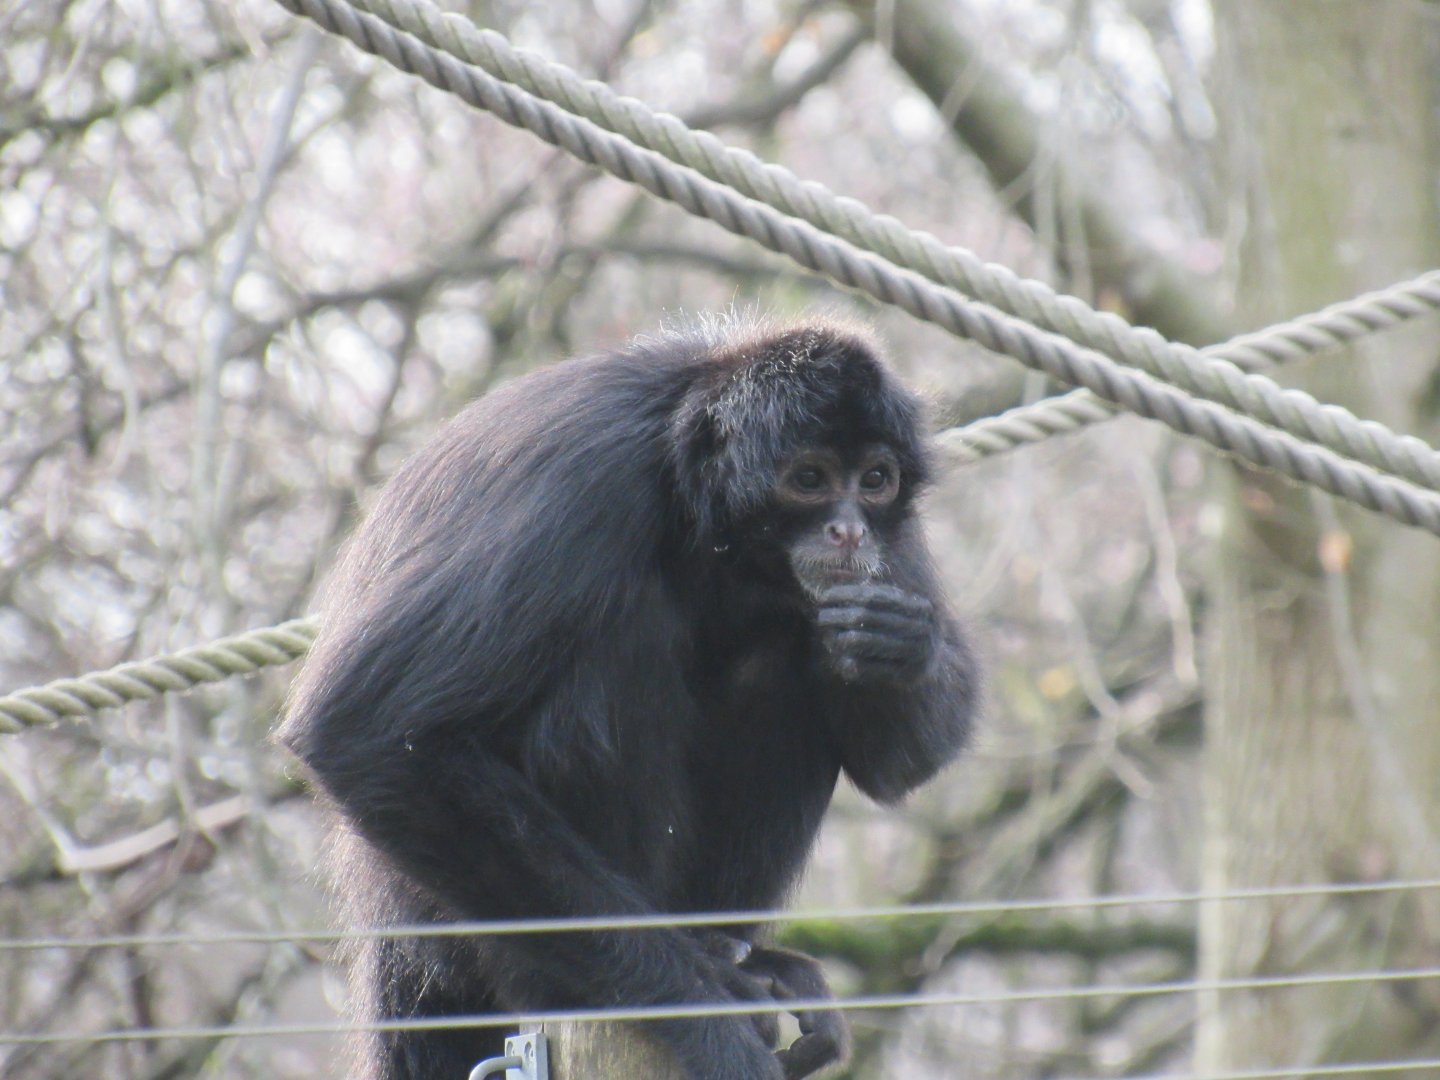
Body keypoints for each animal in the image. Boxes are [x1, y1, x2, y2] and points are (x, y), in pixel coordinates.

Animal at [277, 318, 977, 1080]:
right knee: (628, 634)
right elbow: (366, 734)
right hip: (453, 930)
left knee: (778, 654)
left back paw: (736, 949)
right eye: (810, 479)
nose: (848, 529)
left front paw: (898, 641)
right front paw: (708, 1019)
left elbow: (897, 766)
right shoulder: (585, 482)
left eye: (875, 480)